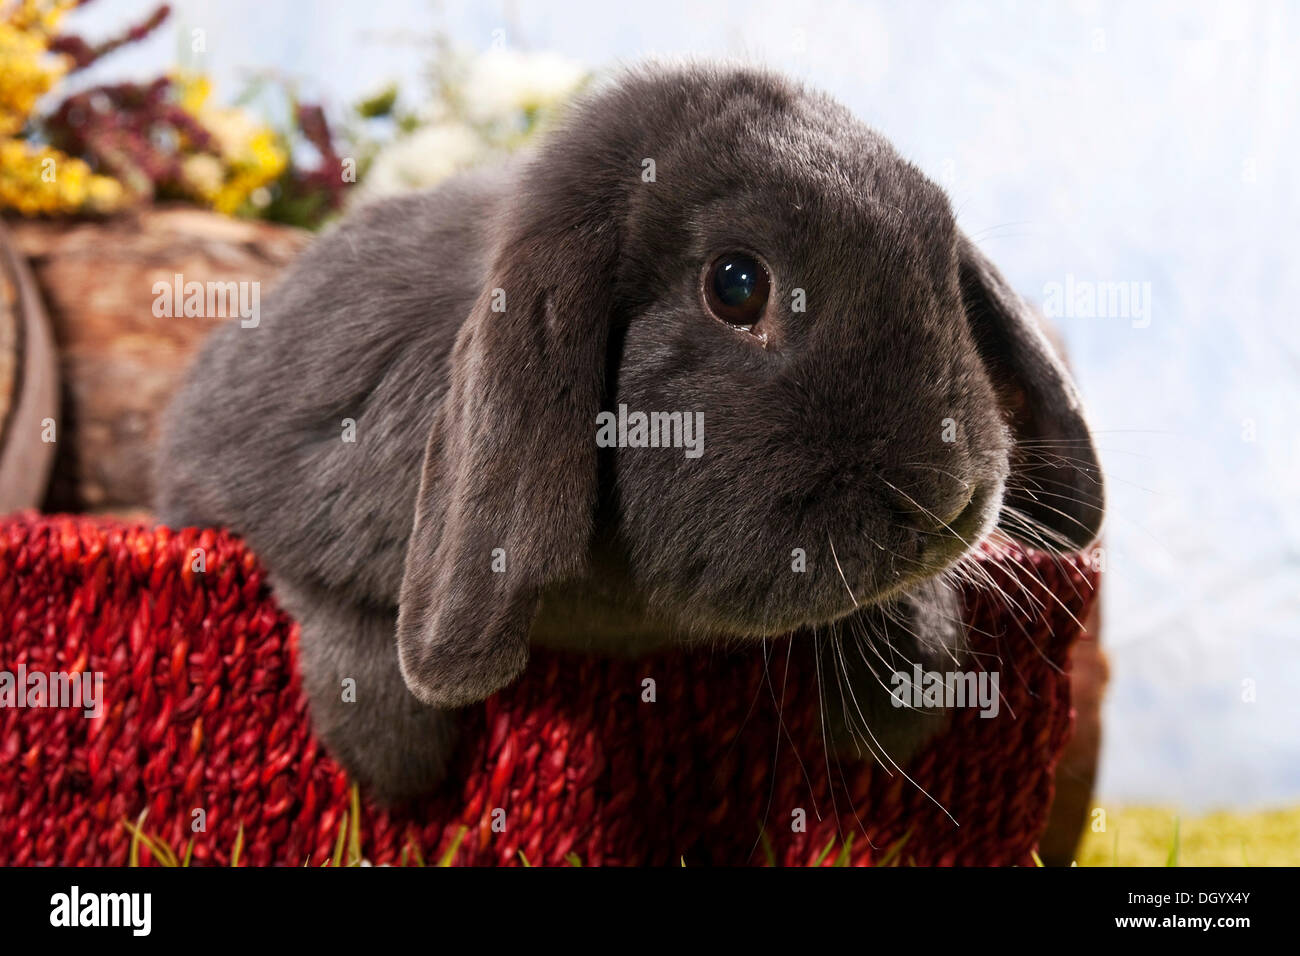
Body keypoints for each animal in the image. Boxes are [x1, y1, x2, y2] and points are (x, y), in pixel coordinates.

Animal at [154, 62, 1104, 804]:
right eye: (736, 284)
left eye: (943, 258)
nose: (951, 498)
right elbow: (333, 605)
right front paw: (395, 768)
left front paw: (911, 685)